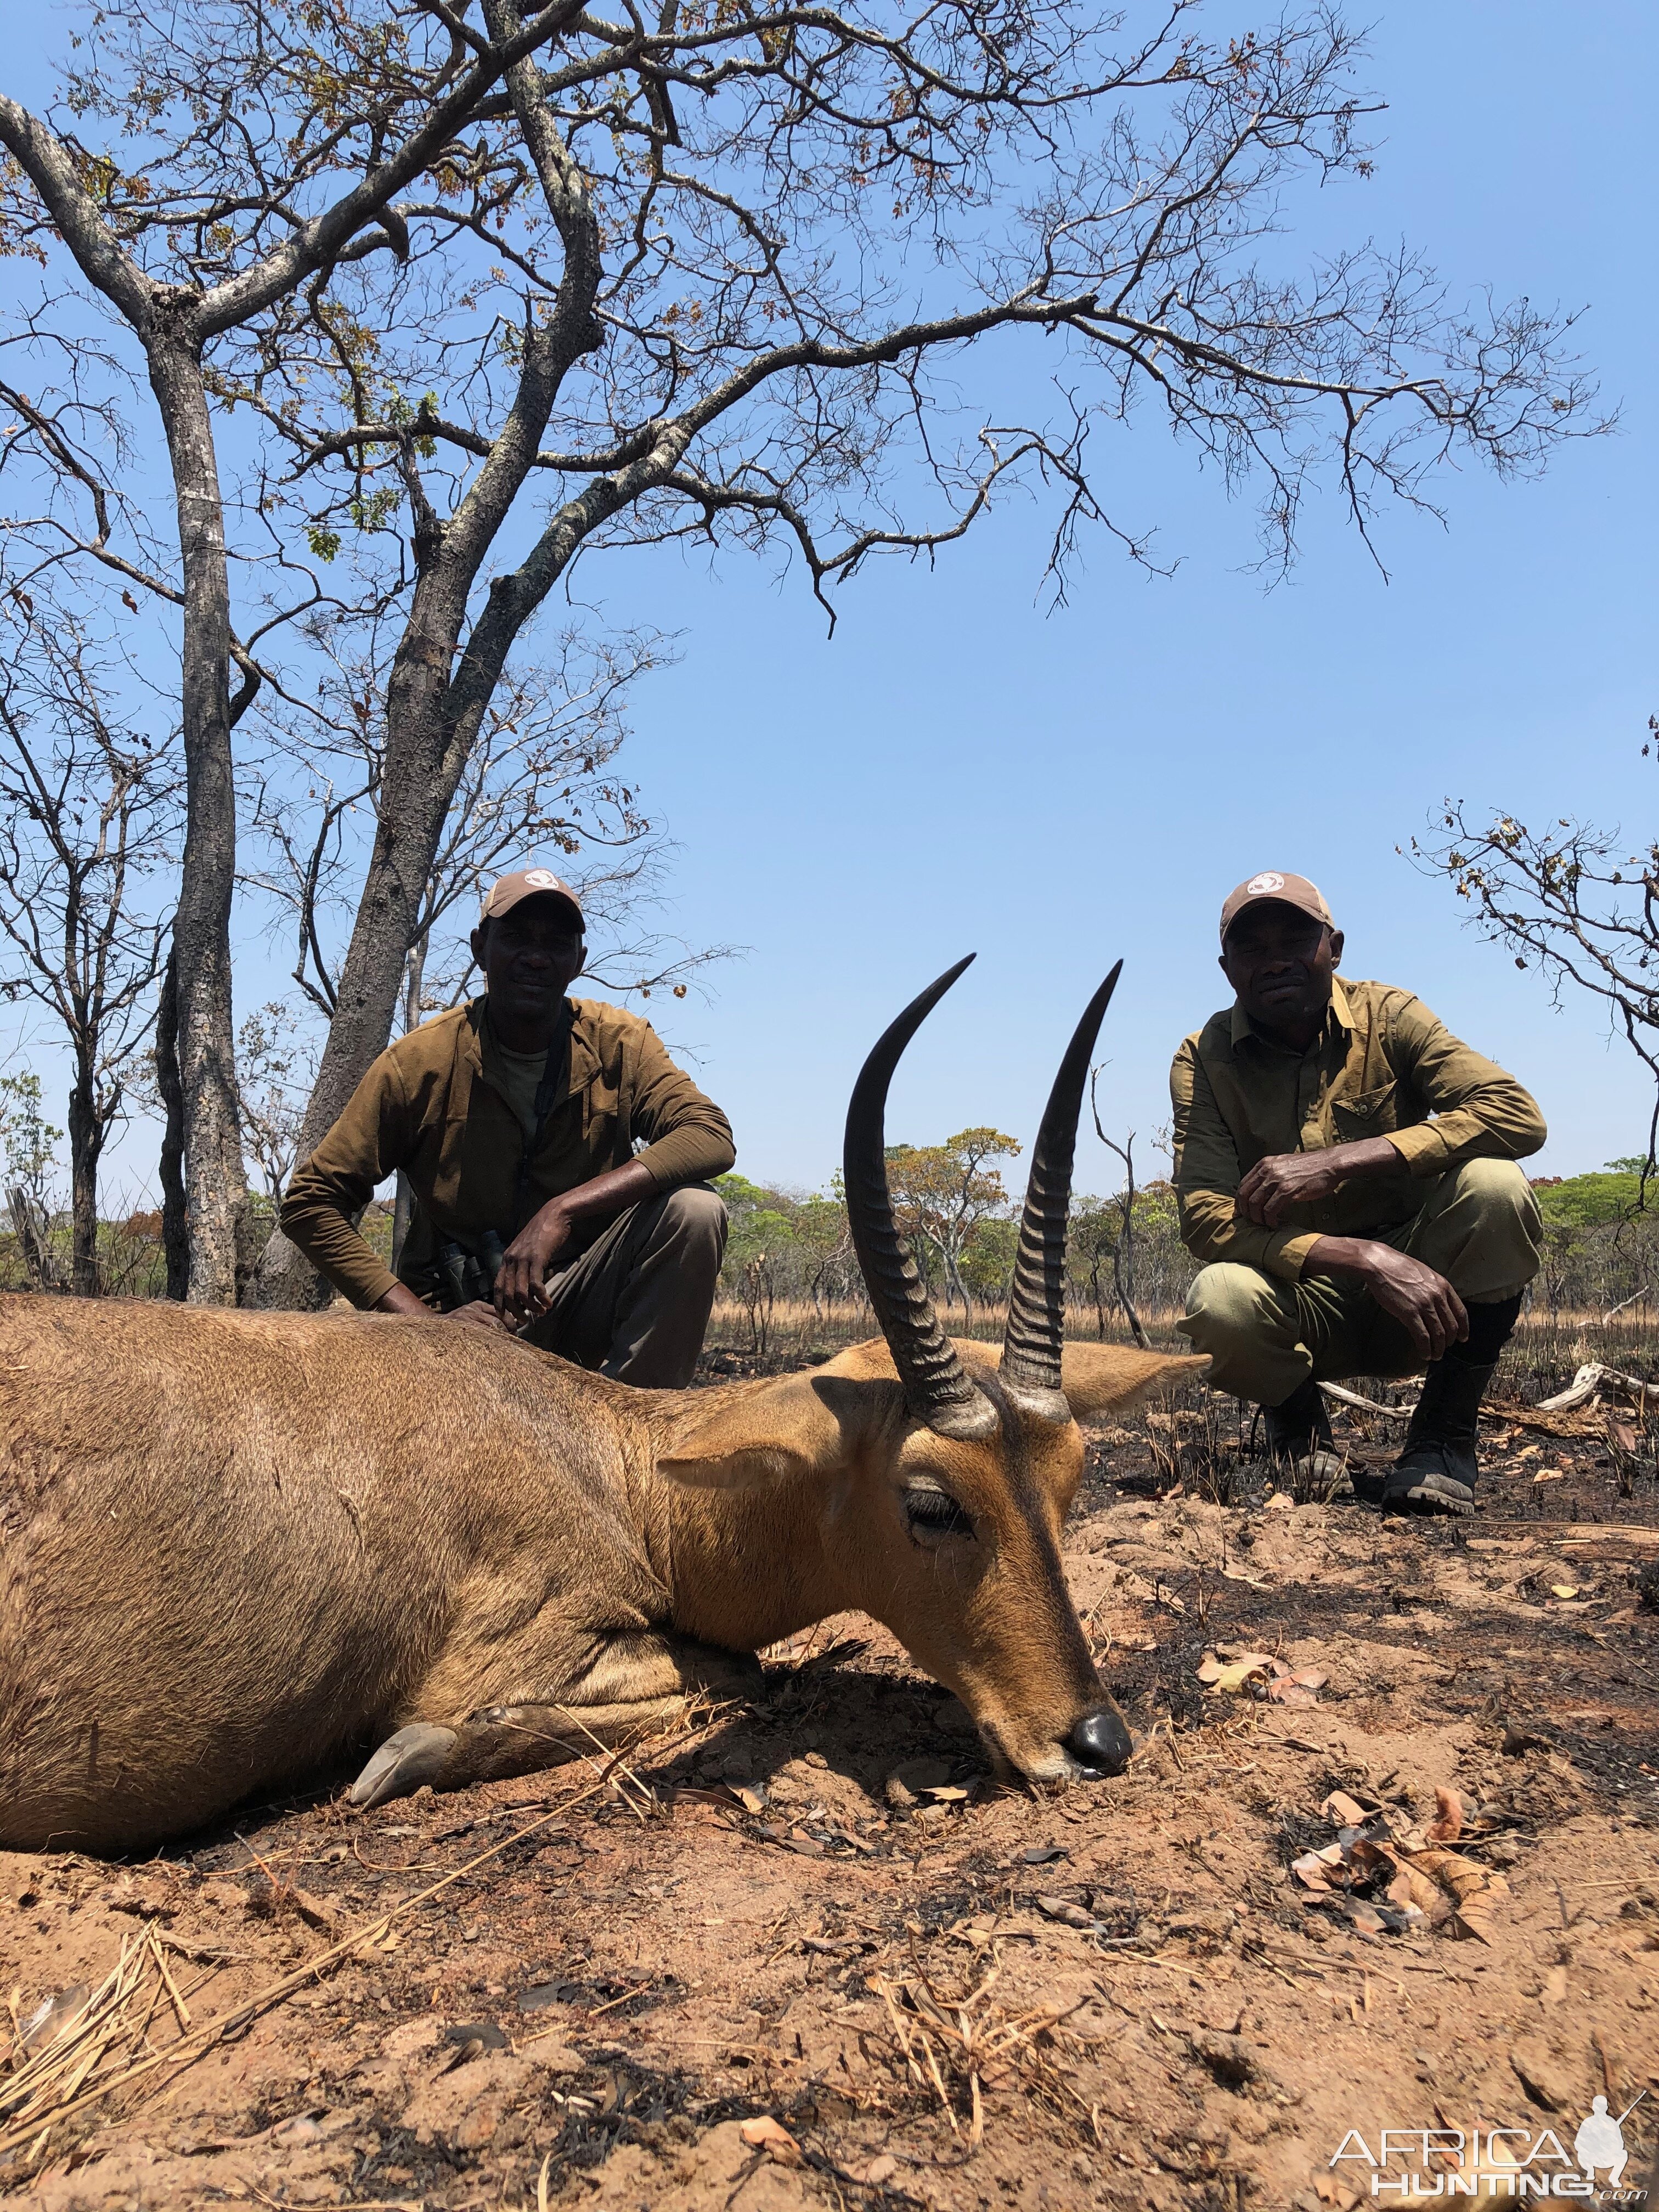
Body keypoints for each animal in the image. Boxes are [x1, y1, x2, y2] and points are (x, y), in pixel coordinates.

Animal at [0, 955, 1194, 1849]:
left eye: (1071, 1483)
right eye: (934, 1502)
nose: (1093, 1742)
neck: (605, 1451)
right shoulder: (520, 1651)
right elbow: (725, 1678)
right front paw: (403, 1759)